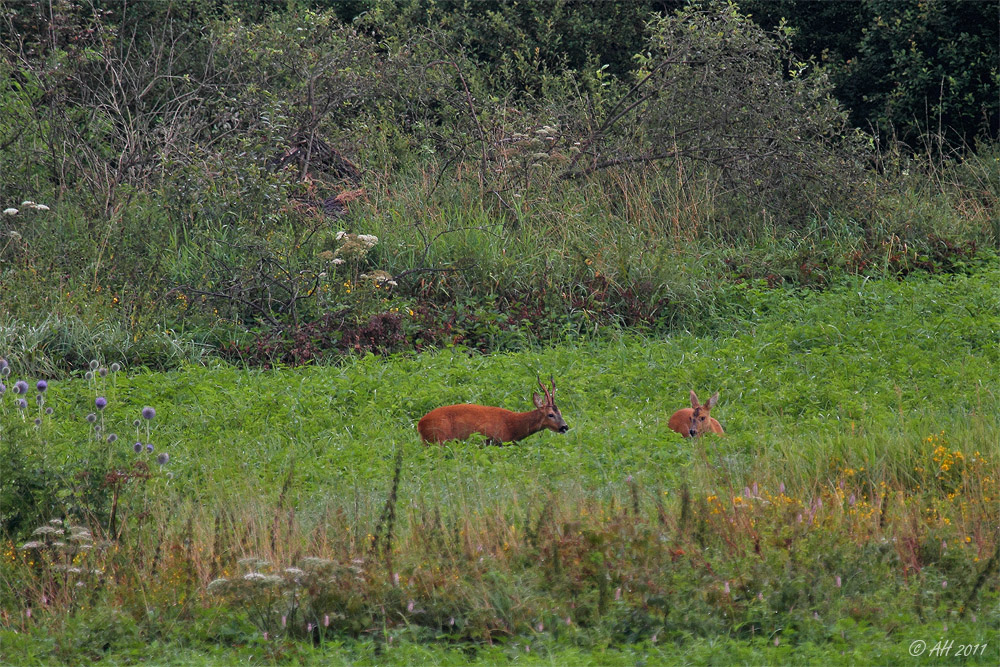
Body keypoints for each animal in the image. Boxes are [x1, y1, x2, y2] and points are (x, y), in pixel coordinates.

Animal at [416, 378, 572, 446]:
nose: (564, 427)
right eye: (550, 414)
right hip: (439, 438)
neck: (513, 427)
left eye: (560, 412)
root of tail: (419, 424)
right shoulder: (490, 439)